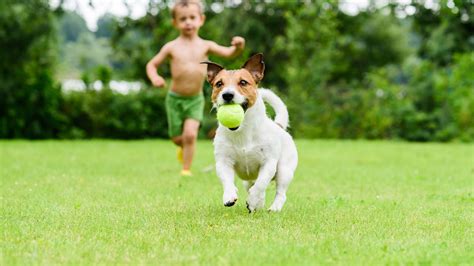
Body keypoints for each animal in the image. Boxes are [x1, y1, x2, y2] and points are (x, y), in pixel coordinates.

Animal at [202, 53, 298, 212]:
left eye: (243, 82)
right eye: (219, 84)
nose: (227, 95)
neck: (242, 131)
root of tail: (278, 125)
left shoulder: (268, 163)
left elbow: (260, 184)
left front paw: (252, 200)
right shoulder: (223, 162)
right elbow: (227, 180)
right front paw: (229, 196)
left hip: (285, 170)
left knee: (279, 192)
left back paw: (273, 208)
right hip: (248, 180)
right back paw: (258, 205)